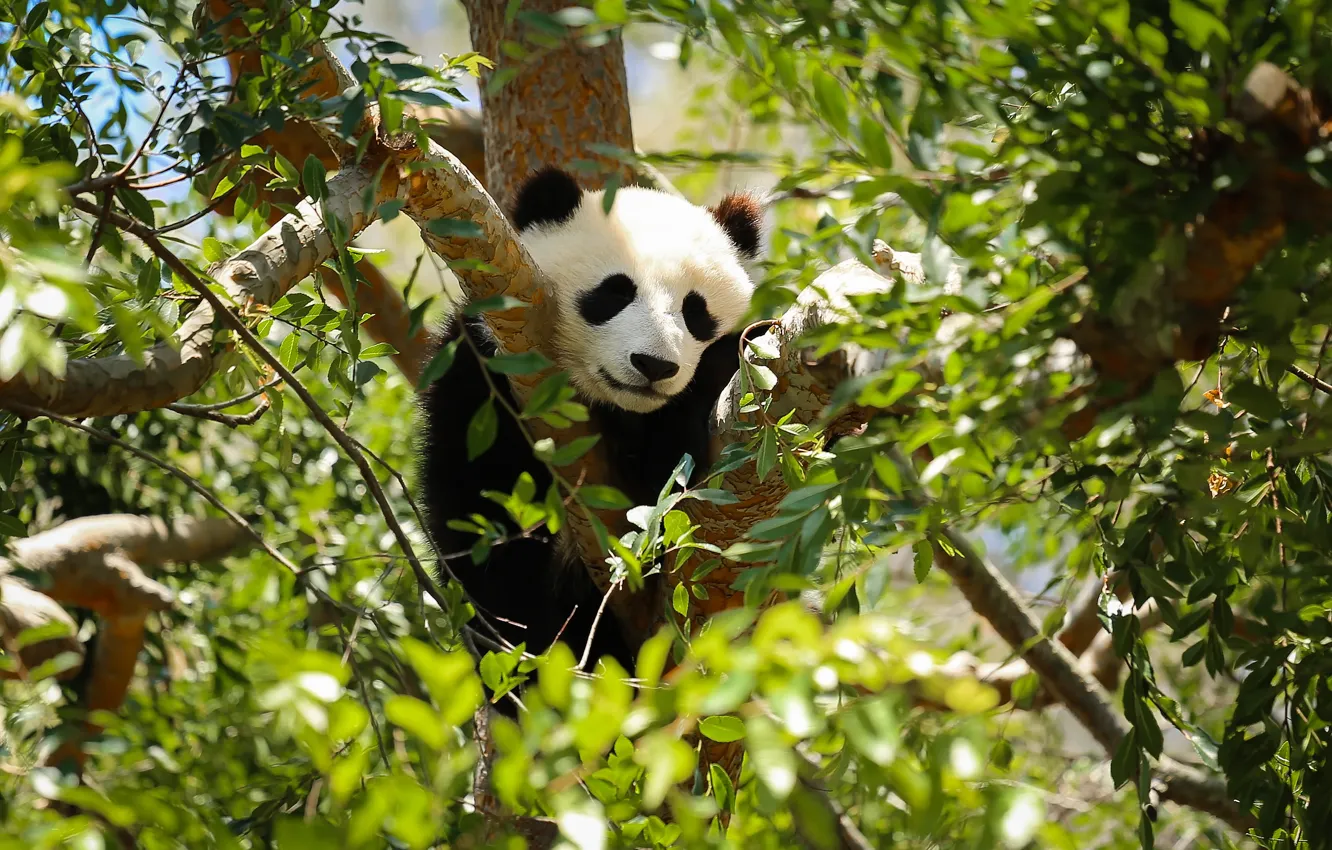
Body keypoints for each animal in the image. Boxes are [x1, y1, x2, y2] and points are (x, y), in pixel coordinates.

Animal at [418, 167, 765, 713]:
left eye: (695, 310)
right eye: (614, 292)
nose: (654, 366)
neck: (615, 407)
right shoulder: (480, 379)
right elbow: (478, 508)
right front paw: (523, 659)